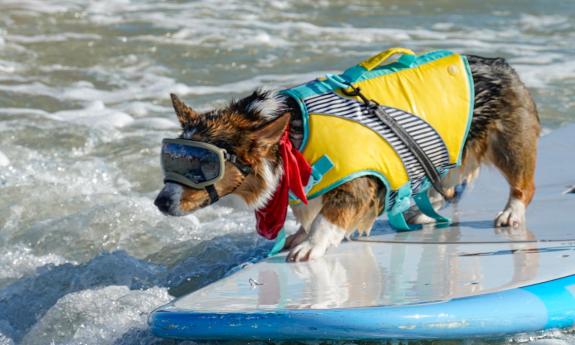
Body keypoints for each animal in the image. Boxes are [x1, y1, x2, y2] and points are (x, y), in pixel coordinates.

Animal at [154, 54, 540, 260]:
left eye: (203, 165)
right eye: (172, 159)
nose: (159, 202)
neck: (290, 142)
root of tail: (501, 64)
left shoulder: (355, 184)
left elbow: (327, 220)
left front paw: (309, 246)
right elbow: (307, 214)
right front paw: (298, 235)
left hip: (508, 145)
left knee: (523, 184)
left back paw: (510, 213)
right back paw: (421, 210)